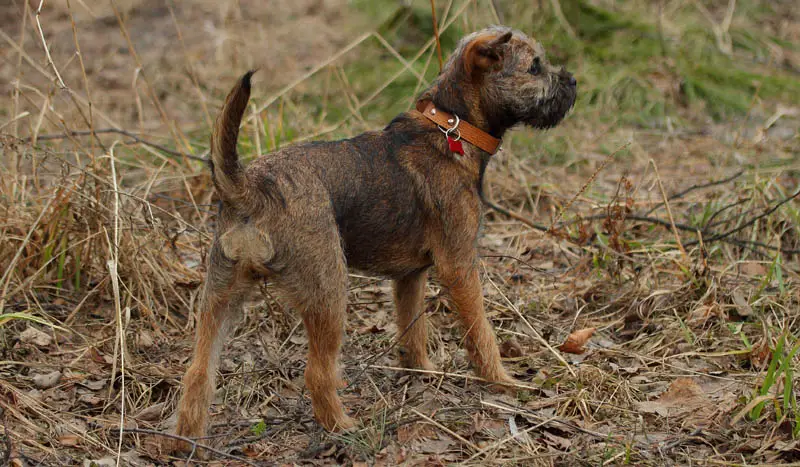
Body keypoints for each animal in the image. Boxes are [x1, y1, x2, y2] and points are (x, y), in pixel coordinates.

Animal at [173, 24, 576, 446]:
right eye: (535, 67)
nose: (573, 81)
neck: (453, 127)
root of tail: (251, 188)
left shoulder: (410, 278)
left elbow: (413, 331)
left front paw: (422, 373)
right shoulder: (460, 267)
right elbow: (481, 333)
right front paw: (501, 382)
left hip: (219, 295)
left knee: (197, 373)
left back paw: (186, 441)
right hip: (329, 291)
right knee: (317, 373)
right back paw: (342, 427)